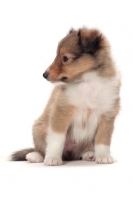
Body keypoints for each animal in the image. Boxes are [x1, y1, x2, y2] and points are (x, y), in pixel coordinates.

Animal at [11, 28, 121, 166]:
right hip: (39, 128)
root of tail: (69, 154)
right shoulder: (61, 111)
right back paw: (35, 156)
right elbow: (57, 139)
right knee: (41, 148)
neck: (87, 81)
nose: (44, 74)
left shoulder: (107, 116)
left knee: (82, 151)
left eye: (65, 58)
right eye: (57, 56)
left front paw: (104, 157)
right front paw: (53, 158)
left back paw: (90, 154)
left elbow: (103, 140)